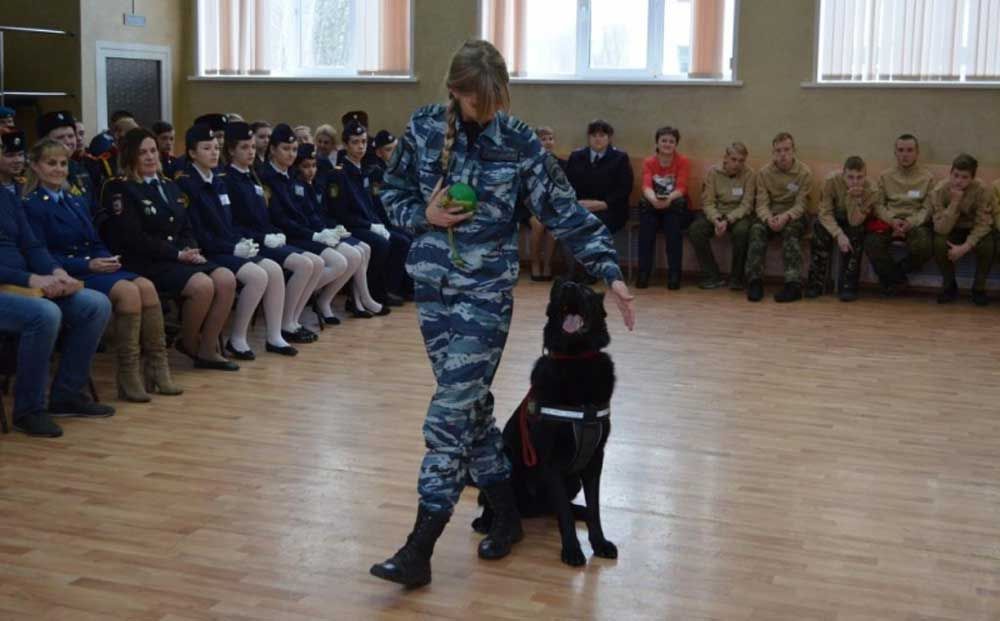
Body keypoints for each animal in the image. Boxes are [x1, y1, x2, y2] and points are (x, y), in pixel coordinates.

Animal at [474, 278, 616, 564]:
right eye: (560, 291)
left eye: (585, 291)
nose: (567, 285)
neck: (575, 361)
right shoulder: (551, 462)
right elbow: (563, 515)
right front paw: (572, 550)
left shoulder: (595, 459)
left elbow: (594, 508)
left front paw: (599, 543)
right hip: (507, 459)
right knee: (495, 498)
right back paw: (488, 523)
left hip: (573, 480)